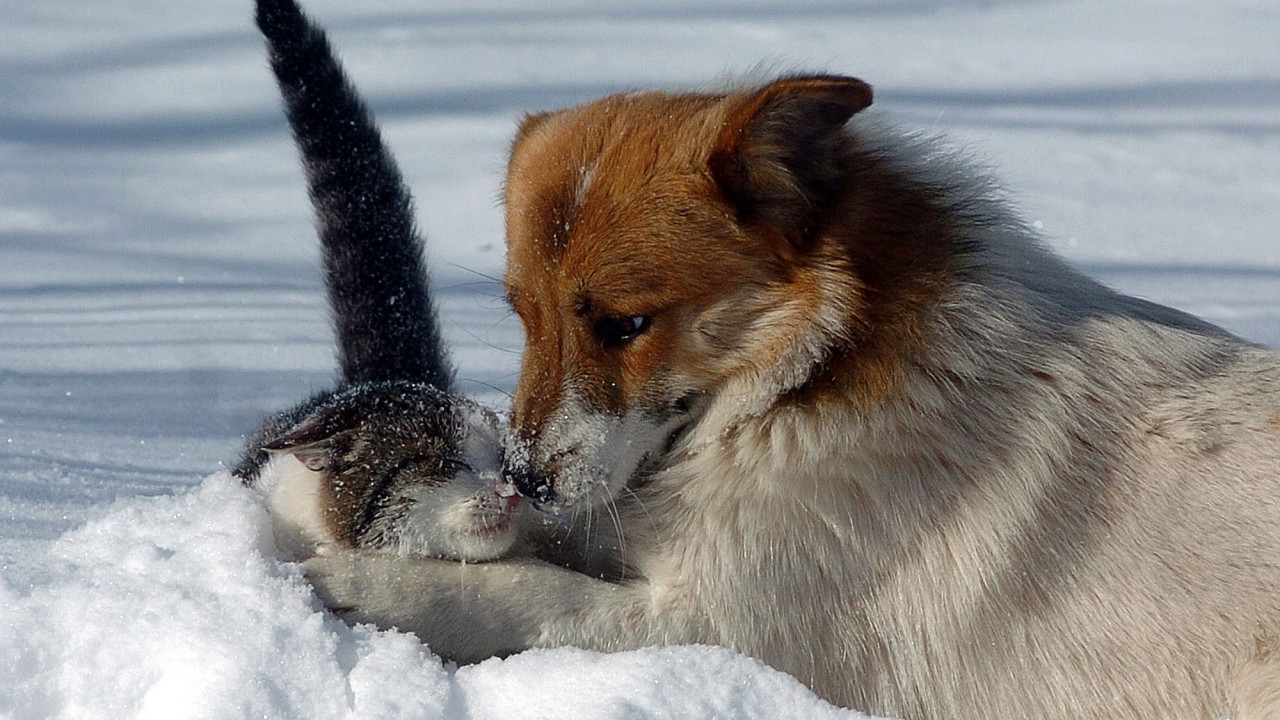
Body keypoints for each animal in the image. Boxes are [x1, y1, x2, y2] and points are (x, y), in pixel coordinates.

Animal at [304, 74, 1280, 717]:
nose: (526, 480)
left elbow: (528, 596)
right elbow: (537, 545)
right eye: (521, 315)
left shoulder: (712, 623)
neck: (812, 372)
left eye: (623, 325)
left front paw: (371, 583)